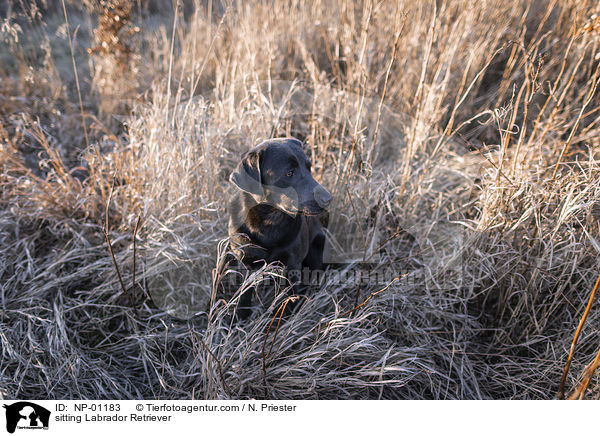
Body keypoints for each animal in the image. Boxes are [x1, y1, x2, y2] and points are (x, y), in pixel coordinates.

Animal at [229, 138, 332, 316]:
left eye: (309, 167)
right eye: (289, 173)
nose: (328, 199)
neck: (269, 221)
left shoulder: (292, 266)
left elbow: (287, 301)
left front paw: (282, 319)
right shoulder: (245, 261)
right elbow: (244, 296)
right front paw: (239, 319)